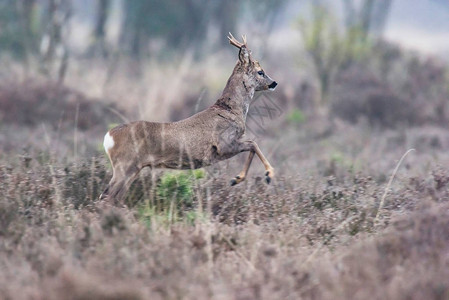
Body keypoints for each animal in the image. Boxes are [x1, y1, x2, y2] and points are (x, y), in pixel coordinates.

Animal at [100, 33, 276, 202]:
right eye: (260, 71)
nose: (274, 83)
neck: (230, 110)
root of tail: (108, 137)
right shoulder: (223, 144)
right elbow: (253, 144)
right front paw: (266, 175)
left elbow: (252, 145)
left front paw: (238, 178)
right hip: (125, 165)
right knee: (107, 196)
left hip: (132, 168)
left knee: (112, 196)